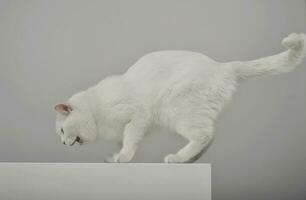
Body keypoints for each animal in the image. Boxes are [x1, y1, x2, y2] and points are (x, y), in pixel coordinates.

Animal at [55, 33, 306, 162]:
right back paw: (187, 160)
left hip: (177, 110)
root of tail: (221, 66)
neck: (96, 114)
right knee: (209, 138)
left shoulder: (138, 117)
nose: (63, 144)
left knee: (205, 135)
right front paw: (115, 156)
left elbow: (130, 140)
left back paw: (176, 159)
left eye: (62, 131)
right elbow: (124, 141)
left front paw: (122, 157)